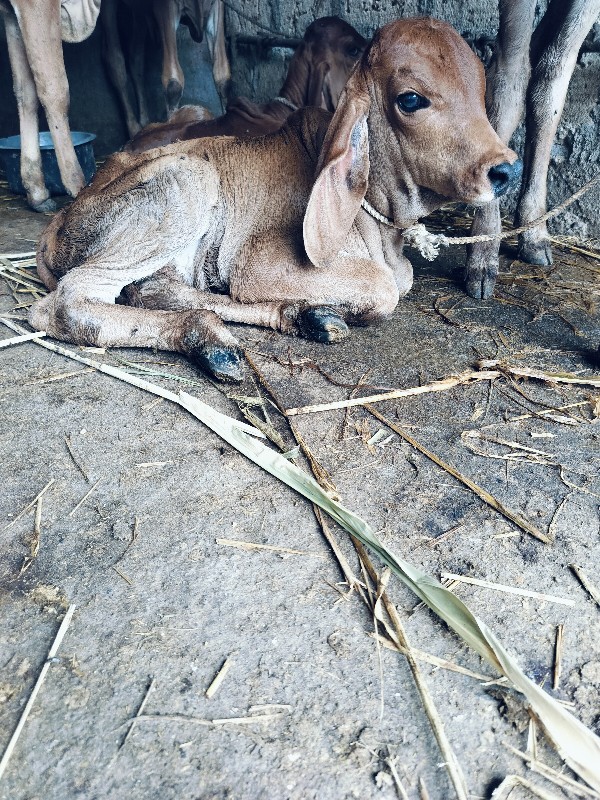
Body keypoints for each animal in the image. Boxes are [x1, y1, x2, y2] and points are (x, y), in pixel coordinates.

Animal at [0, 0, 101, 212]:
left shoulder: (9, 12)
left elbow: (25, 90)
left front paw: (37, 192)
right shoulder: (36, 5)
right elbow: (54, 88)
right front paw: (79, 187)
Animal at [30, 16, 520, 382]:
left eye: (480, 92)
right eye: (411, 99)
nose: (506, 170)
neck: (382, 227)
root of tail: (58, 222)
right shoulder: (259, 260)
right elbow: (384, 289)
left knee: (158, 289)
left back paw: (305, 317)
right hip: (189, 181)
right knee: (68, 305)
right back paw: (211, 341)